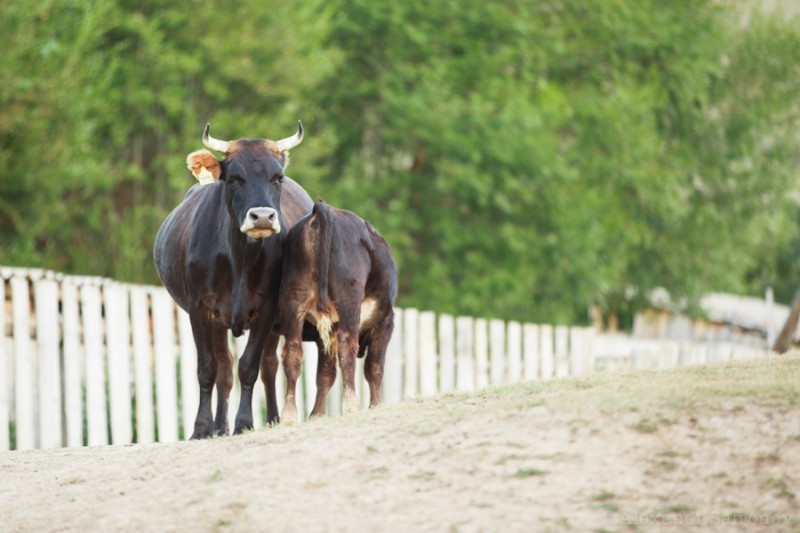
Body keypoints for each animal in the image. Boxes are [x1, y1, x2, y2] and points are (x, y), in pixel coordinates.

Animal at [153, 120, 312, 436]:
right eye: (235, 179)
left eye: (278, 178)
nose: (262, 217)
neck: (240, 260)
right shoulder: (200, 310)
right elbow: (208, 369)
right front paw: (202, 428)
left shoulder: (267, 310)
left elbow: (249, 367)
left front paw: (244, 423)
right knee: (224, 370)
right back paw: (219, 426)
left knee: (267, 366)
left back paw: (271, 418)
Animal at [276, 197, 398, 422]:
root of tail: (324, 210)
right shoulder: (385, 322)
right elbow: (374, 367)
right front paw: (375, 405)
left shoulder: (326, 332)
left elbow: (325, 373)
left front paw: (316, 414)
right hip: (348, 298)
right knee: (347, 347)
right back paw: (351, 405)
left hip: (293, 299)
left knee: (292, 352)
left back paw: (288, 414)